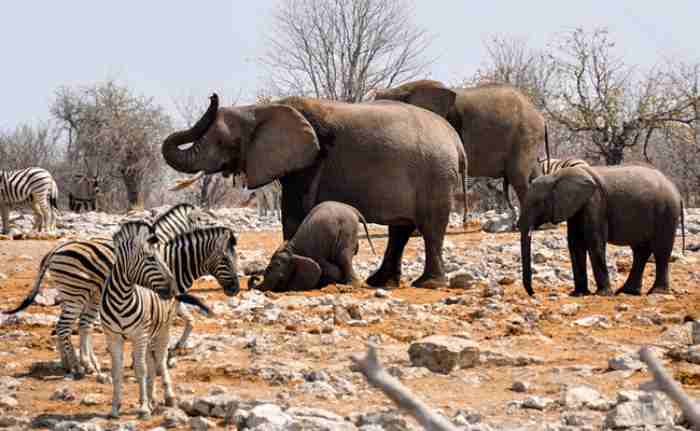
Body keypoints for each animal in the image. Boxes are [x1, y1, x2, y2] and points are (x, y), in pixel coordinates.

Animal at [2, 207, 239, 378]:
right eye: (226, 260)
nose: (236, 289)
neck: (174, 259)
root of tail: (56, 249)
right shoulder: (164, 297)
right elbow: (176, 323)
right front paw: (155, 358)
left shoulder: (171, 297)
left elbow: (189, 321)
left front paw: (172, 351)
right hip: (76, 294)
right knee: (65, 326)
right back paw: (78, 367)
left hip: (81, 295)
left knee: (76, 326)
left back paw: (73, 364)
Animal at [162, 93, 468, 288]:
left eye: (223, 141)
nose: (212, 96)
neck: (262, 109)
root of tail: (455, 140)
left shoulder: (312, 160)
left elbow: (294, 212)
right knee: (401, 230)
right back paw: (381, 282)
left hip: (436, 175)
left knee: (430, 227)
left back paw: (429, 284)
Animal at [520, 164, 684, 298]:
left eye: (537, 203)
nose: (533, 293)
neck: (555, 176)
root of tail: (676, 189)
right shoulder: (577, 207)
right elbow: (575, 244)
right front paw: (578, 294)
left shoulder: (595, 202)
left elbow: (594, 242)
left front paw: (603, 294)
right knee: (641, 251)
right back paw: (627, 292)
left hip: (667, 212)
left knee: (660, 250)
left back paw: (657, 292)